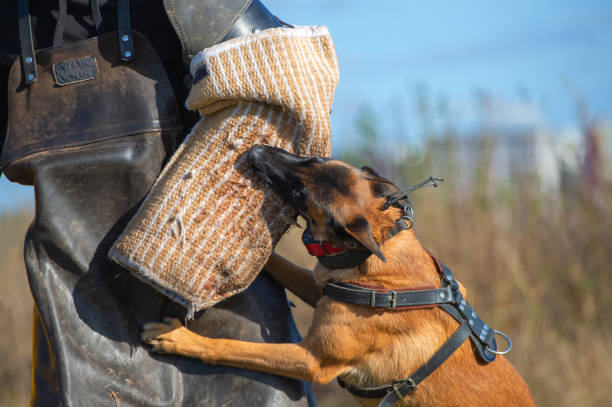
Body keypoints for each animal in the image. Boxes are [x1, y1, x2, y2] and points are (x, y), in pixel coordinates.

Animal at [141, 145, 532, 406]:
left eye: (299, 192)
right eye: (312, 160)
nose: (255, 150)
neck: (377, 257)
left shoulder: (311, 360)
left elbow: (233, 347)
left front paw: (178, 338)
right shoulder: (322, 288)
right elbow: (281, 264)